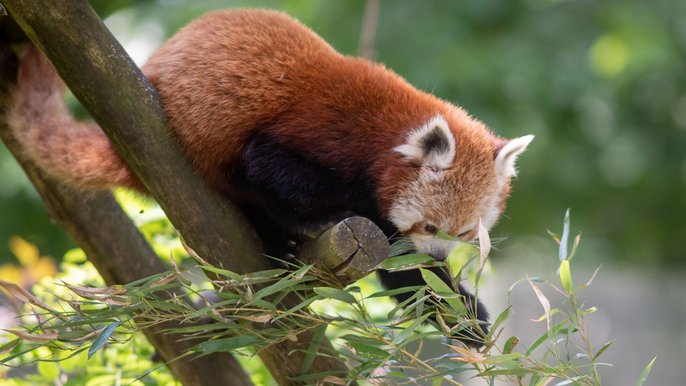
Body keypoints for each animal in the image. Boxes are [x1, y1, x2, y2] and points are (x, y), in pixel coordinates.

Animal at [8, 8, 536, 346]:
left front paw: (464, 315)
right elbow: (274, 171)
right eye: (430, 225)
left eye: (463, 235)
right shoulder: (325, 132)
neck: (387, 132)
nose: (438, 254)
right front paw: (343, 215)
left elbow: (404, 274)